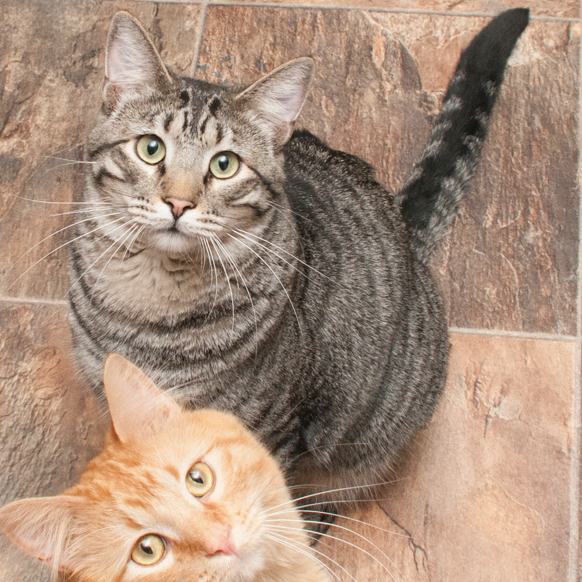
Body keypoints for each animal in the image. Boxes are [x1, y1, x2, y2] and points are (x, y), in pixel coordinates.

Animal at [68, 11, 528, 486]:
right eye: (151, 148)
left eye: (224, 164)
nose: (178, 203)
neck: (147, 306)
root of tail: (400, 222)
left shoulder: (271, 433)